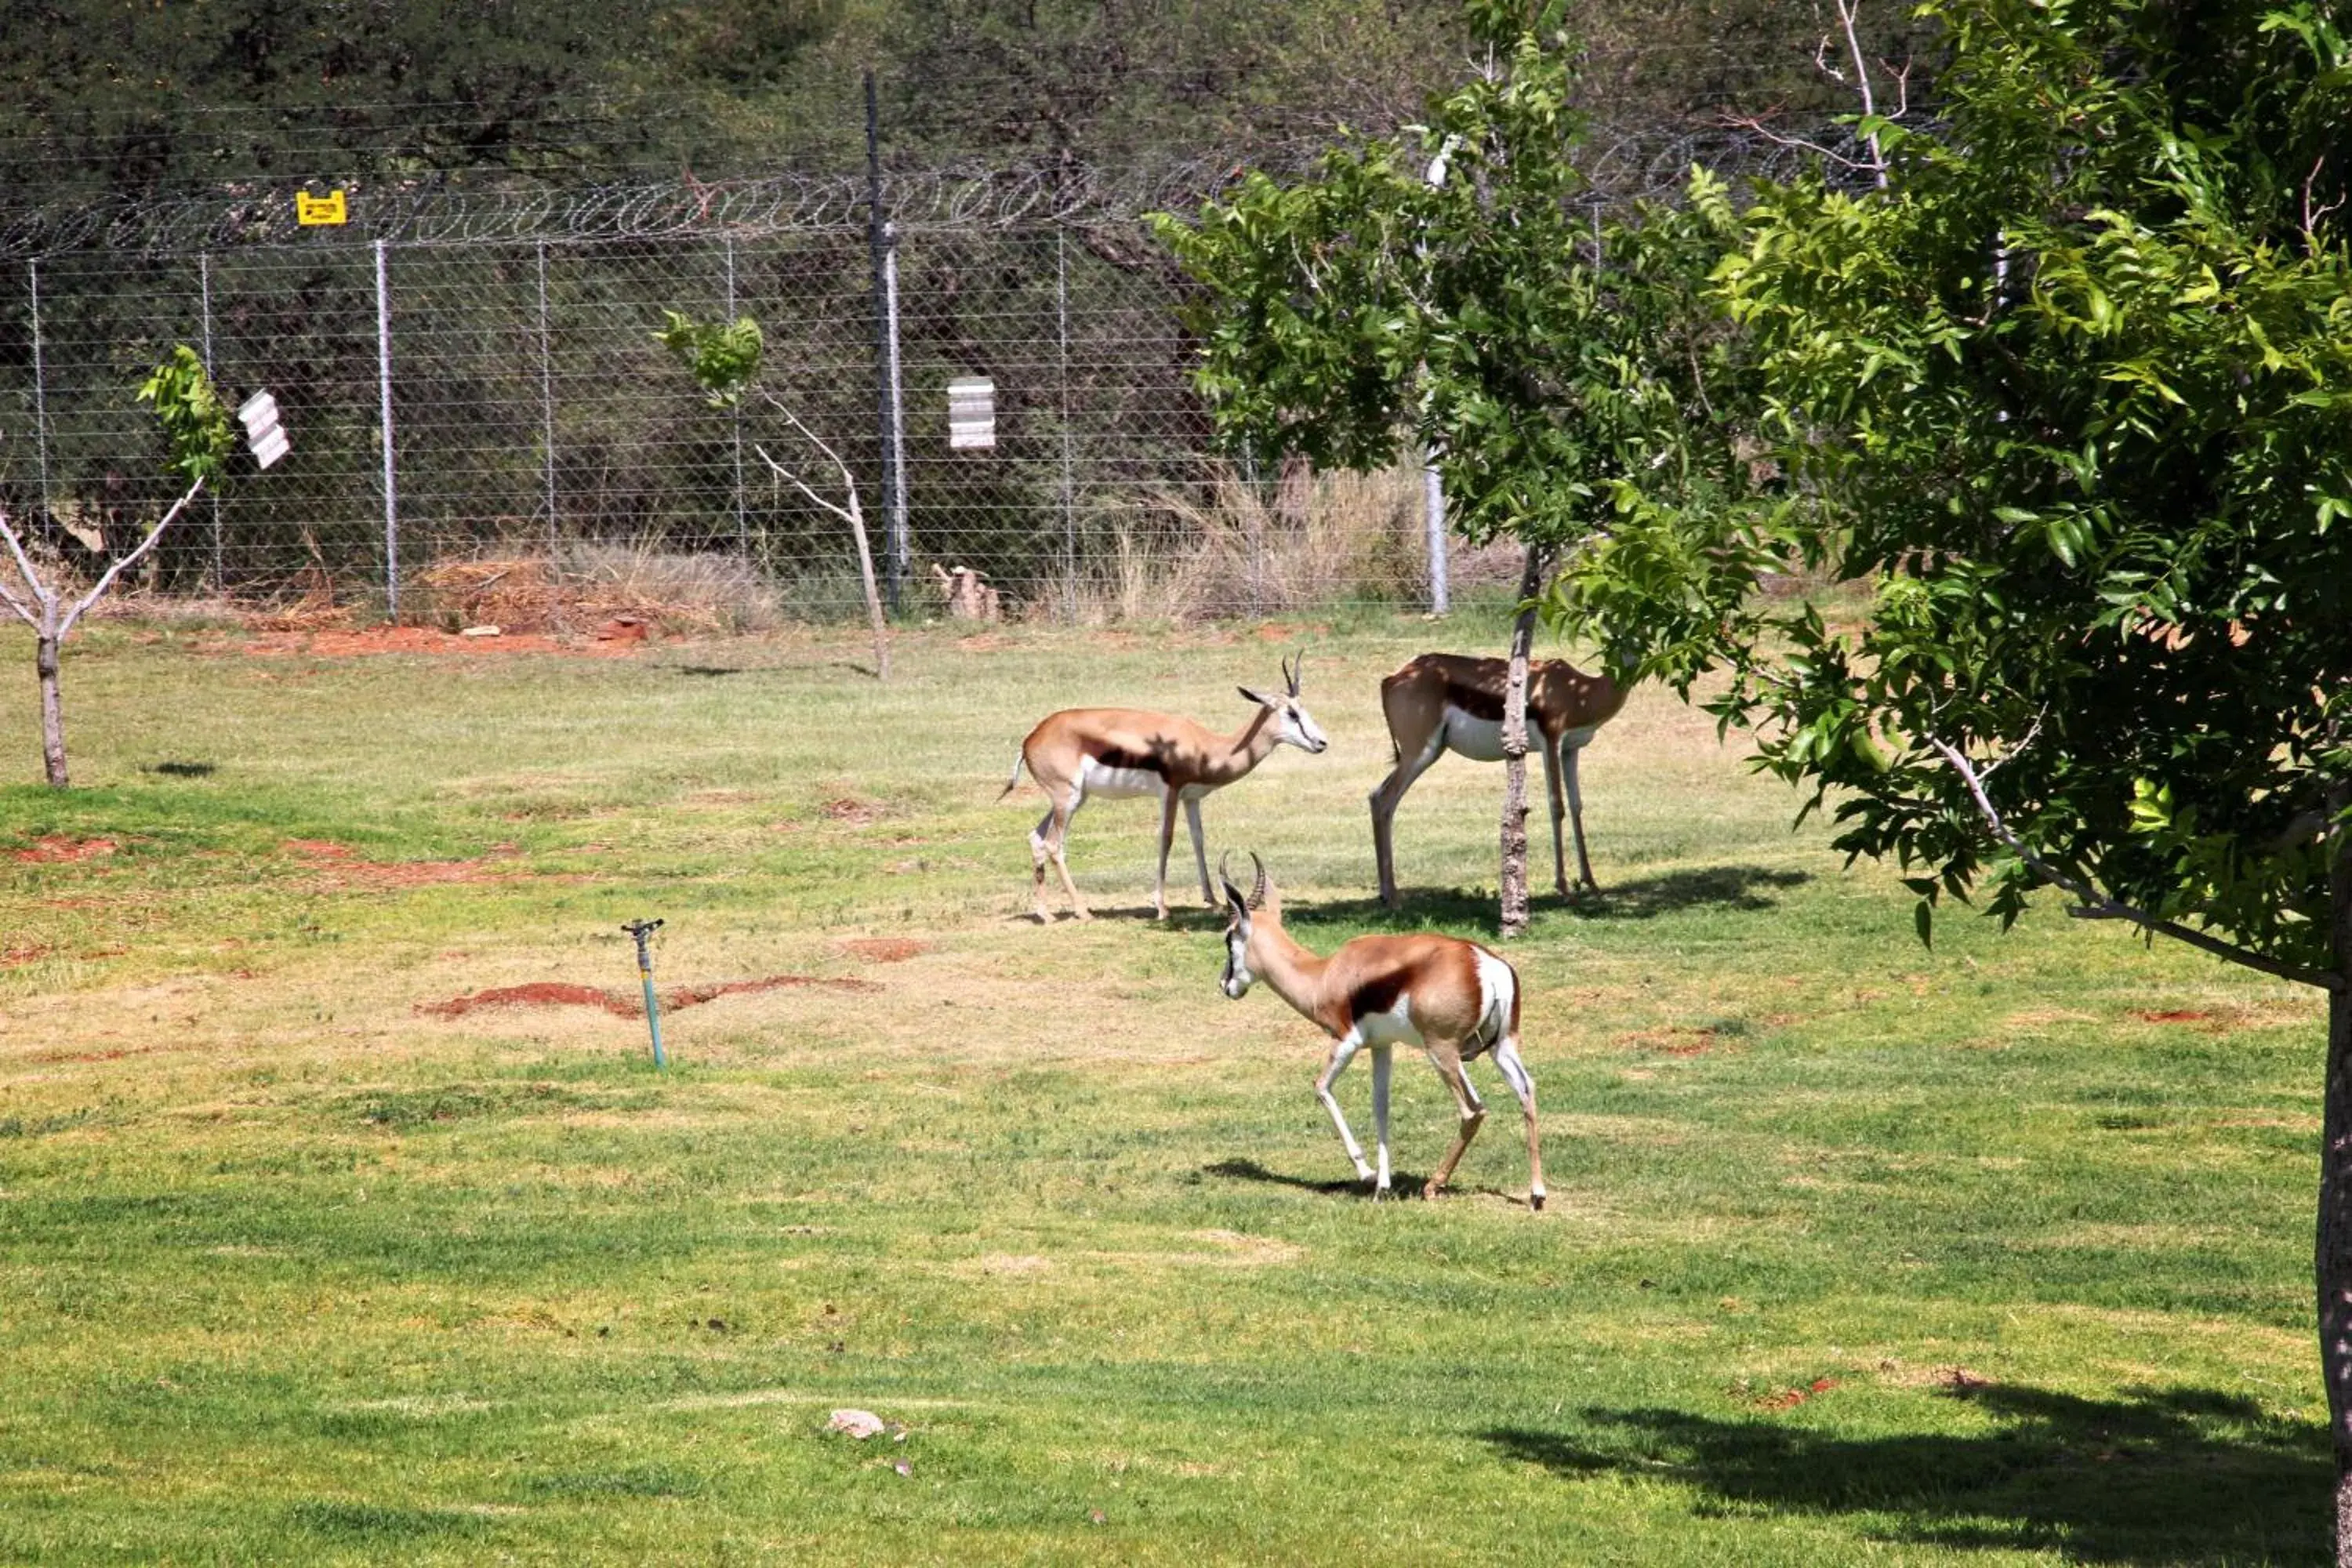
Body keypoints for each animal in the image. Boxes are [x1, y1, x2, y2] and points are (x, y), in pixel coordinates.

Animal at [997, 658, 1327, 926]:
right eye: (1291, 713)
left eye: (1304, 709)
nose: (1322, 743)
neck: (1206, 746)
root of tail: (1031, 738)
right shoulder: (1170, 792)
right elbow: (1166, 840)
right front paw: (1162, 907)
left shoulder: (1191, 797)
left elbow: (1198, 840)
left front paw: (1213, 902)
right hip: (1068, 799)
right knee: (1054, 845)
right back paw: (1083, 911)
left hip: (1071, 799)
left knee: (1036, 838)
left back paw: (1046, 914)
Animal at [1214, 860, 1543, 1203]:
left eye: (1228, 938)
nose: (1225, 984)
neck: (1323, 977)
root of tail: (1483, 962)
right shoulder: (1382, 1046)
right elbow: (1380, 1104)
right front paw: (1383, 1184)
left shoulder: (1345, 1041)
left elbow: (1321, 1088)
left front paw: (1368, 1173)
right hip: (1500, 1048)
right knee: (1526, 1090)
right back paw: (1537, 1194)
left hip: (1442, 1052)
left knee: (1472, 1111)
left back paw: (1432, 1186)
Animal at [1374, 658, 1628, 912]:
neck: (1579, 692)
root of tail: (1394, 678)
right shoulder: (1552, 742)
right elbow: (1557, 807)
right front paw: (1565, 890)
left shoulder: (1571, 749)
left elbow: (1576, 806)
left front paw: (1592, 885)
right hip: (1419, 753)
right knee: (1385, 800)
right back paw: (1393, 899)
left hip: (1430, 752)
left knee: (1377, 797)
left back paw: (1386, 895)